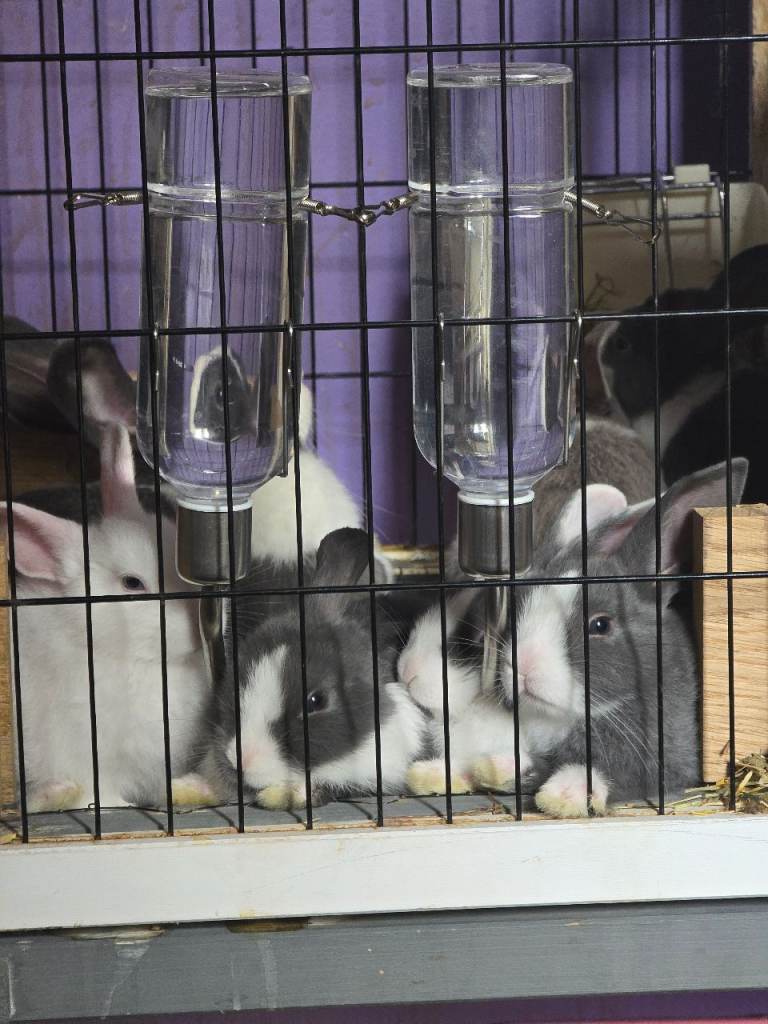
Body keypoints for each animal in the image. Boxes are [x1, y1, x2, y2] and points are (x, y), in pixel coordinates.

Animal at [497, 457, 748, 818]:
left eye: (600, 625)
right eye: (521, 605)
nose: (522, 666)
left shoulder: (666, 759)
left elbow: (615, 772)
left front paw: (563, 794)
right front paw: (495, 765)